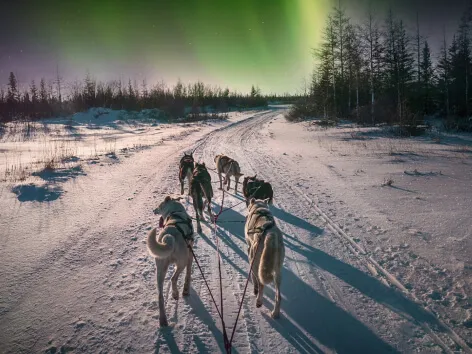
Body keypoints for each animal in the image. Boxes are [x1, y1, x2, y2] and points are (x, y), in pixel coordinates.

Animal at [147, 196, 193, 326]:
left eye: (159, 205)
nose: (154, 210)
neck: (175, 213)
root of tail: (169, 236)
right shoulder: (190, 255)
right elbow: (188, 274)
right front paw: (186, 290)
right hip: (181, 262)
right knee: (173, 278)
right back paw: (175, 294)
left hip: (160, 270)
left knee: (160, 296)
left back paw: (163, 320)